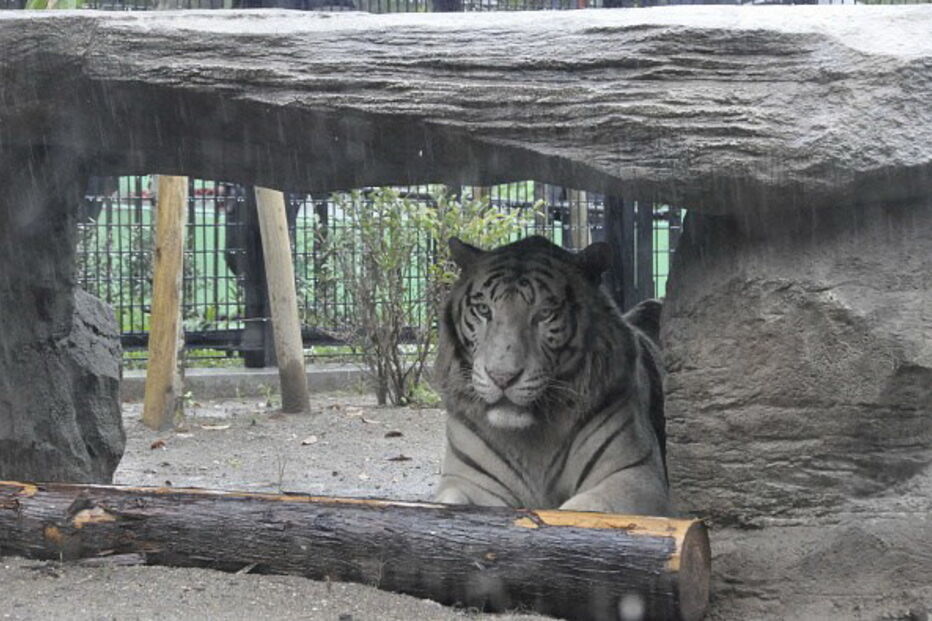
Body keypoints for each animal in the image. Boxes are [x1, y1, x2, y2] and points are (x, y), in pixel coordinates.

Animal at [433, 235, 670, 516]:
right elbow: (447, 501)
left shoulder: (635, 474)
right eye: (483, 310)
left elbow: (587, 509)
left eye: (544, 314)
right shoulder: (466, 481)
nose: (502, 377)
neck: (532, 440)